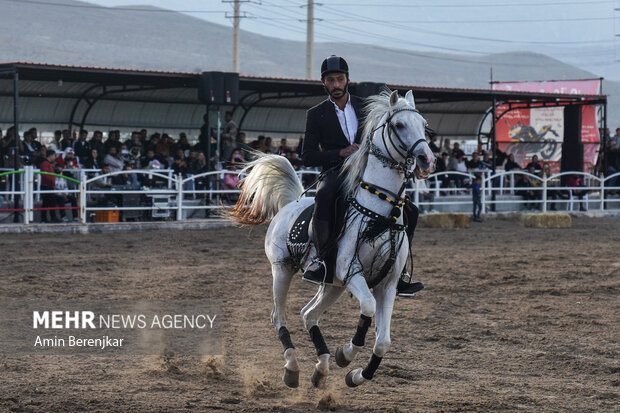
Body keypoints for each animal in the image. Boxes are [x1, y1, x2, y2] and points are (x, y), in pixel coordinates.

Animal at [229, 89, 436, 386]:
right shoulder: (353, 273)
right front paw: (346, 354)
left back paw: (322, 367)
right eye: (398, 125)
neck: (380, 213)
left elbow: (383, 341)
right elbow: (368, 309)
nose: (426, 161)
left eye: (424, 125)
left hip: (332, 285)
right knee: (279, 316)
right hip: (282, 270)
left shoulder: (388, 284)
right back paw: (292, 368)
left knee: (308, 314)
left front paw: (356, 375)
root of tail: (290, 204)